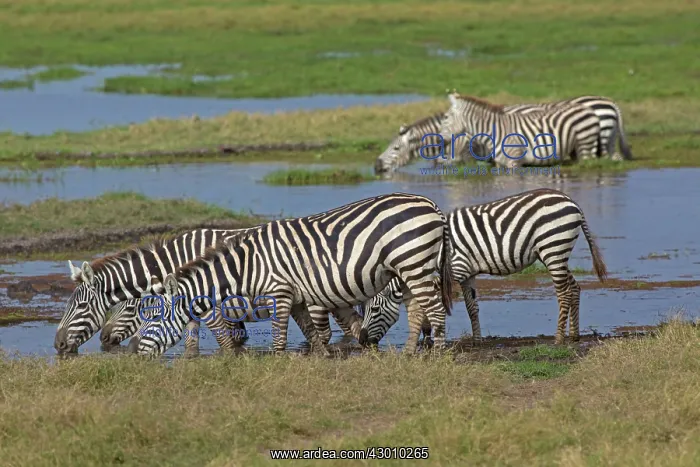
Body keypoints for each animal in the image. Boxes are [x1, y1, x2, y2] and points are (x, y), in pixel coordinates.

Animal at [55, 227, 362, 357]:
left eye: (80, 307)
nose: (57, 345)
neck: (176, 261)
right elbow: (192, 345)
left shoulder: (210, 307)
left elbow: (226, 343)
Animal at [126, 193, 454, 357]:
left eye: (154, 318)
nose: (135, 353)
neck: (247, 266)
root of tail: (431, 205)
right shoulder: (297, 299)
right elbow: (312, 333)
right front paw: (322, 359)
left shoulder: (279, 293)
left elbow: (279, 336)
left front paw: (279, 365)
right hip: (409, 268)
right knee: (417, 310)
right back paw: (409, 353)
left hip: (415, 261)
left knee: (436, 310)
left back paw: (438, 355)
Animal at [357, 188, 608, 347]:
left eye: (375, 310)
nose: (361, 341)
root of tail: (571, 202)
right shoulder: (467, 273)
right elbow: (472, 307)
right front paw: (476, 340)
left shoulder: (454, 269)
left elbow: (433, 301)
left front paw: (429, 333)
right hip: (558, 252)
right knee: (574, 287)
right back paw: (574, 335)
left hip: (553, 247)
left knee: (564, 293)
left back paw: (558, 338)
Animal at [439, 93, 602, 168]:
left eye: (446, 117)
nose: (440, 140)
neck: (494, 132)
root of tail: (588, 109)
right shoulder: (500, 164)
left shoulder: (514, 162)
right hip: (575, 150)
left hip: (585, 146)